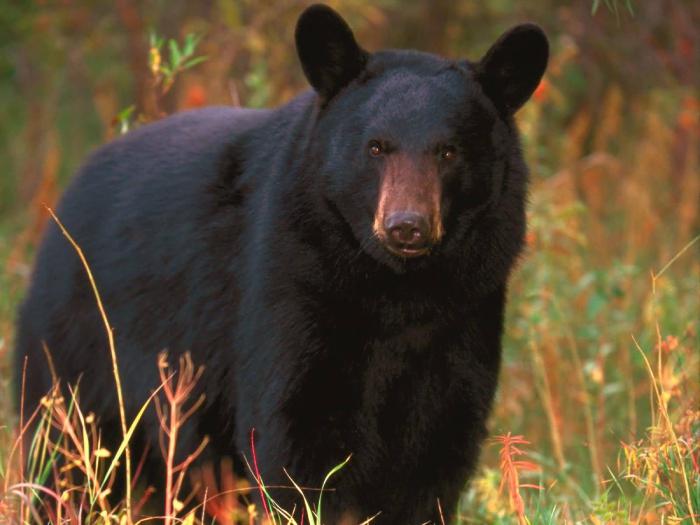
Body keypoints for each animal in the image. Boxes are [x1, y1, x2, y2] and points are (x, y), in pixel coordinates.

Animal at [12, 5, 548, 524]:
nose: (407, 226)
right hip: (79, 351)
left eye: (448, 151)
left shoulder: (465, 309)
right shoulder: (291, 282)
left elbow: (437, 447)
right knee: (65, 455)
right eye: (375, 147)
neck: (396, 291)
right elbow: (296, 432)